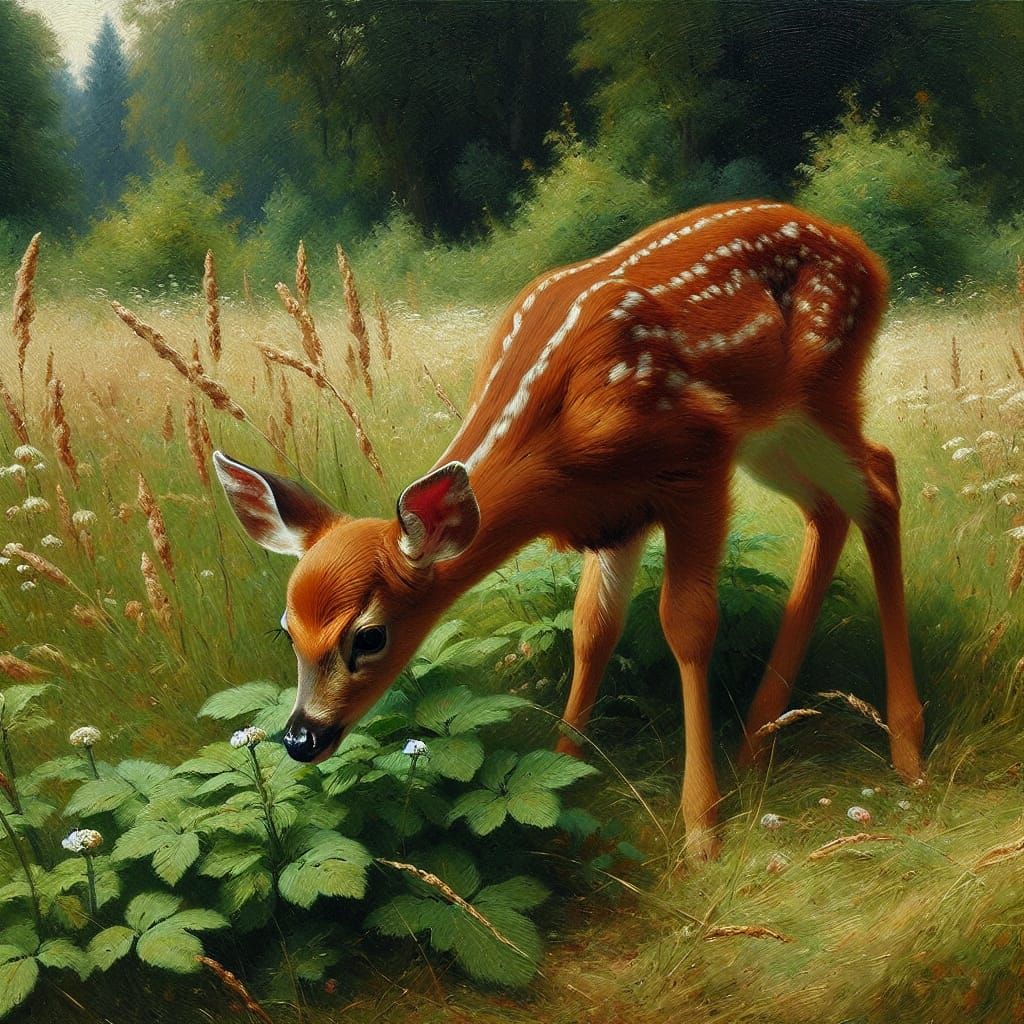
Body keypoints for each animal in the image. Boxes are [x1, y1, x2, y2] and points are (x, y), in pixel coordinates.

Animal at [214, 200, 925, 860]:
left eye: (369, 636)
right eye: (287, 631)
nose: (300, 737)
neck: (552, 449)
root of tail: (867, 255)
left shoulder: (697, 455)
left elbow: (688, 622)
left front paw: (702, 832)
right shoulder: (615, 511)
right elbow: (592, 628)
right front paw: (565, 781)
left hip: (820, 391)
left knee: (881, 480)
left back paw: (906, 750)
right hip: (775, 434)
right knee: (834, 507)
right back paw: (758, 738)